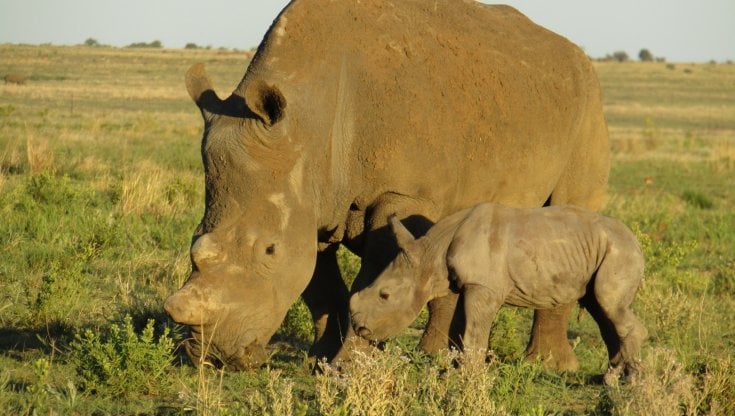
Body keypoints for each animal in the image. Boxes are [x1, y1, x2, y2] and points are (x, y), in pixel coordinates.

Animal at [164, 0, 610, 370]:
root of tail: (580, 57)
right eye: (194, 240)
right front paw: (321, 359)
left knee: (569, 217)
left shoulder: (397, 194)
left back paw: (549, 367)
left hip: (588, 103)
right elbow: (321, 285)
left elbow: (373, 274)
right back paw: (437, 357)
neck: (307, 126)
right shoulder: (314, 199)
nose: (214, 355)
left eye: (270, 250)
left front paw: (351, 364)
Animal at [350, 204, 647, 384]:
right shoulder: (465, 284)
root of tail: (635, 240)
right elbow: (460, 330)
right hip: (603, 251)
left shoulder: (483, 286)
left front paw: (468, 377)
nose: (359, 327)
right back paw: (609, 378)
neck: (429, 255)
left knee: (610, 305)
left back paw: (629, 382)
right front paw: (453, 374)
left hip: (619, 251)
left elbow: (473, 332)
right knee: (602, 310)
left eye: (384, 296)